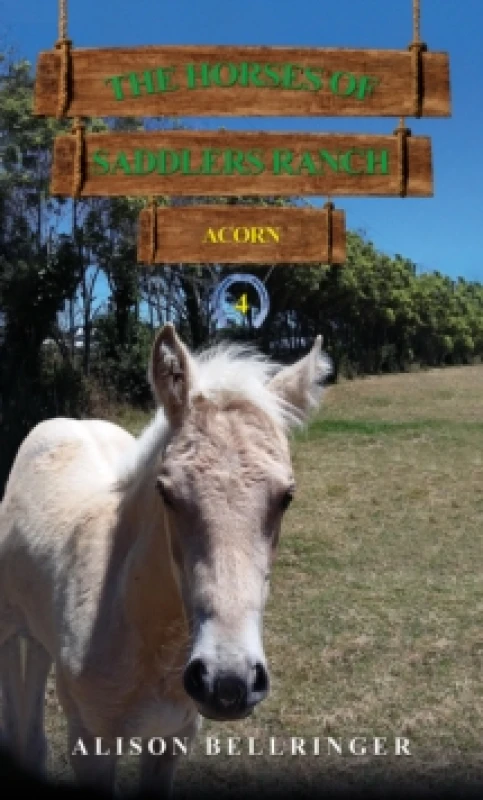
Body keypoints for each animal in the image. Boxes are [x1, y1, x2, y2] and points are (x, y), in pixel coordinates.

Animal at [0, 323, 331, 796]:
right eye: (166, 492)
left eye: (286, 496)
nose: (227, 683)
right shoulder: (91, 745)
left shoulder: (171, 739)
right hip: (8, 628)